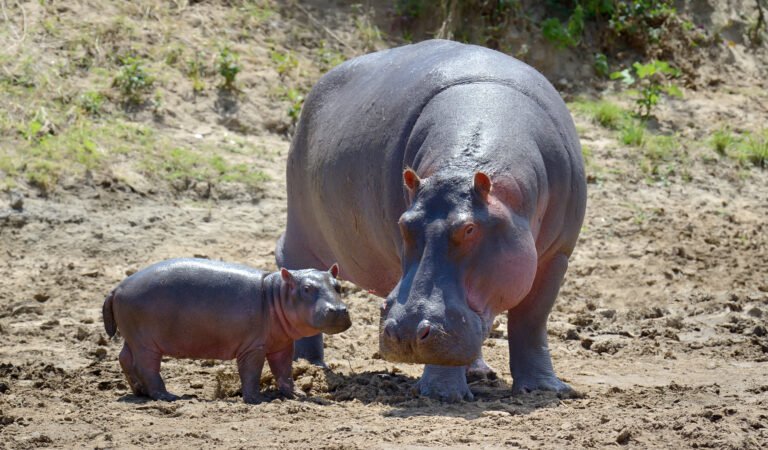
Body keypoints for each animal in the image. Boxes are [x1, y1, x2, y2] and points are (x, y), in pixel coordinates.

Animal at [102, 258, 351, 403]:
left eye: (338, 286)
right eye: (307, 288)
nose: (339, 310)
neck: (275, 294)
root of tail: (117, 288)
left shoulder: (282, 344)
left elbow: (284, 371)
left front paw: (298, 395)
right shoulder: (253, 347)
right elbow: (251, 372)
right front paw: (255, 400)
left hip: (133, 337)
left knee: (125, 358)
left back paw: (139, 392)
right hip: (146, 343)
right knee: (147, 367)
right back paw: (169, 396)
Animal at [276, 39, 586, 401]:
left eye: (470, 228)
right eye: (404, 224)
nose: (406, 332)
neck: (461, 168)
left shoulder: (556, 256)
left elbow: (531, 320)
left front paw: (545, 389)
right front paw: (443, 394)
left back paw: (478, 372)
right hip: (301, 230)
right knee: (296, 267)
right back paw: (308, 366)